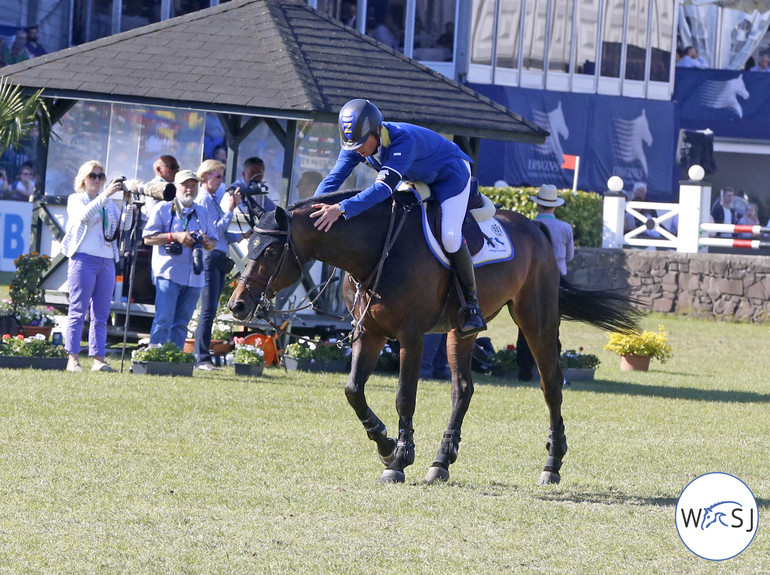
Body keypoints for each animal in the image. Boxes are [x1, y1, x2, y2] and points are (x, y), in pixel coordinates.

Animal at [231, 190, 640, 486]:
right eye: (247, 245)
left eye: (270, 249)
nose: (237, 305)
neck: (377, 250)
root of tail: (536, 228)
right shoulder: (371, 333)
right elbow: (353, 390)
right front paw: (385, 443)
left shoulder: (410, 336)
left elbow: (404, 397)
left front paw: (398, 460)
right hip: (461, 330)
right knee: (463, 388)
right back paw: (441, 462)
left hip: (535, 319)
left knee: (551, 383)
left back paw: (552, 464)